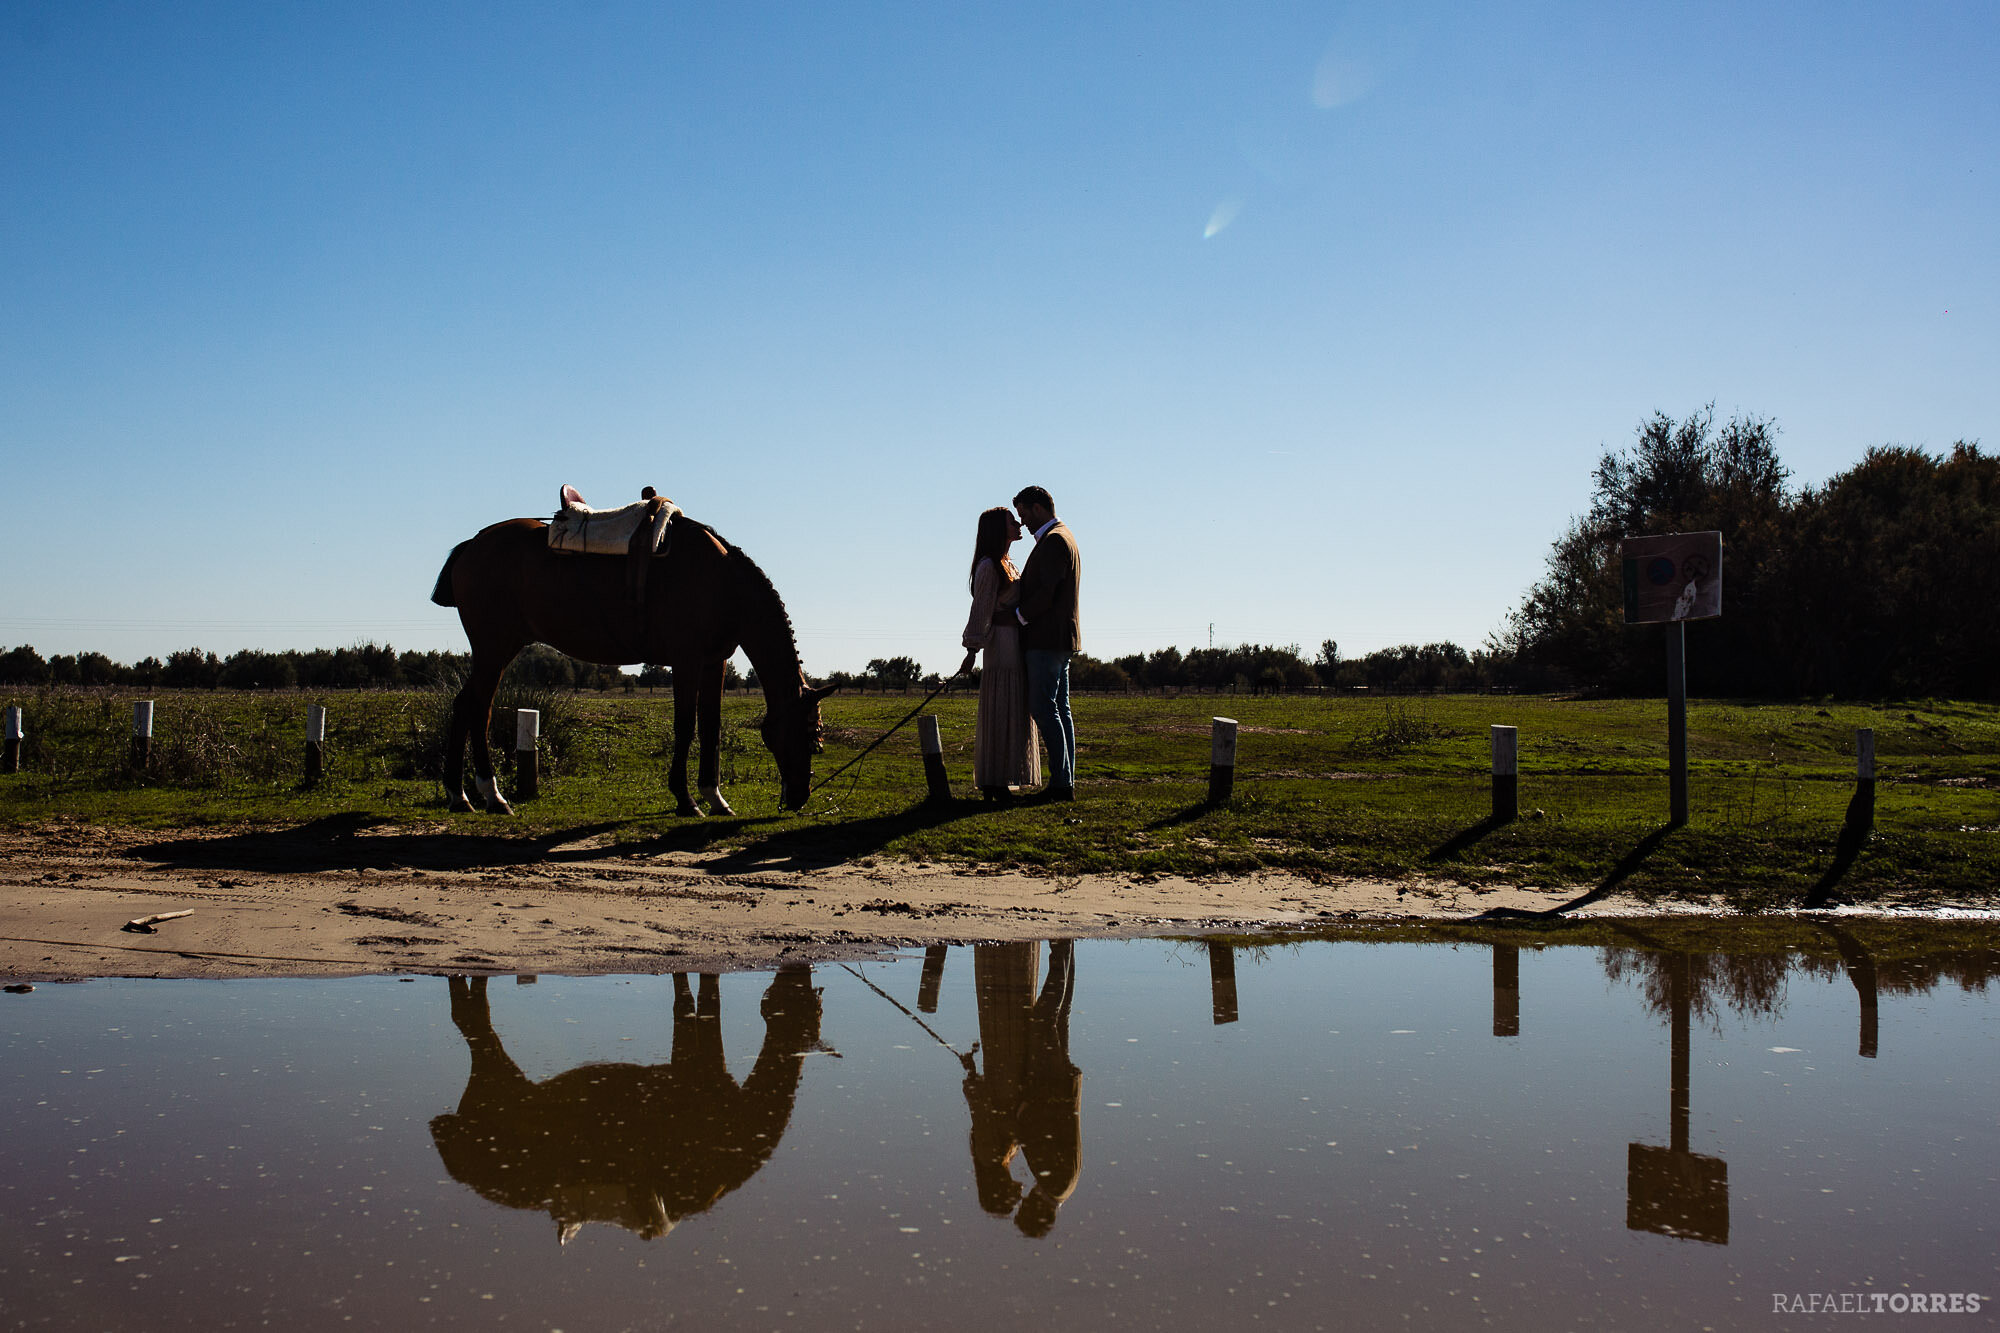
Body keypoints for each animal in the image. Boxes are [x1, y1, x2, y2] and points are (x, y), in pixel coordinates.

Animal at [426, 512, 832, 816]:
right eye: (808, 735)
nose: (800, 796)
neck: (723, 583)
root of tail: (474, 544)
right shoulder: (686, 661)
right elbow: (686, 726)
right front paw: (686, 800)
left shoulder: (713, 663)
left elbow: (711, 728)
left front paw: (715, 798)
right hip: (494, 648)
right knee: (479, 709)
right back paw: (491, 795)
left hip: (494, 650)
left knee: (465, 705)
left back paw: (460, 796)